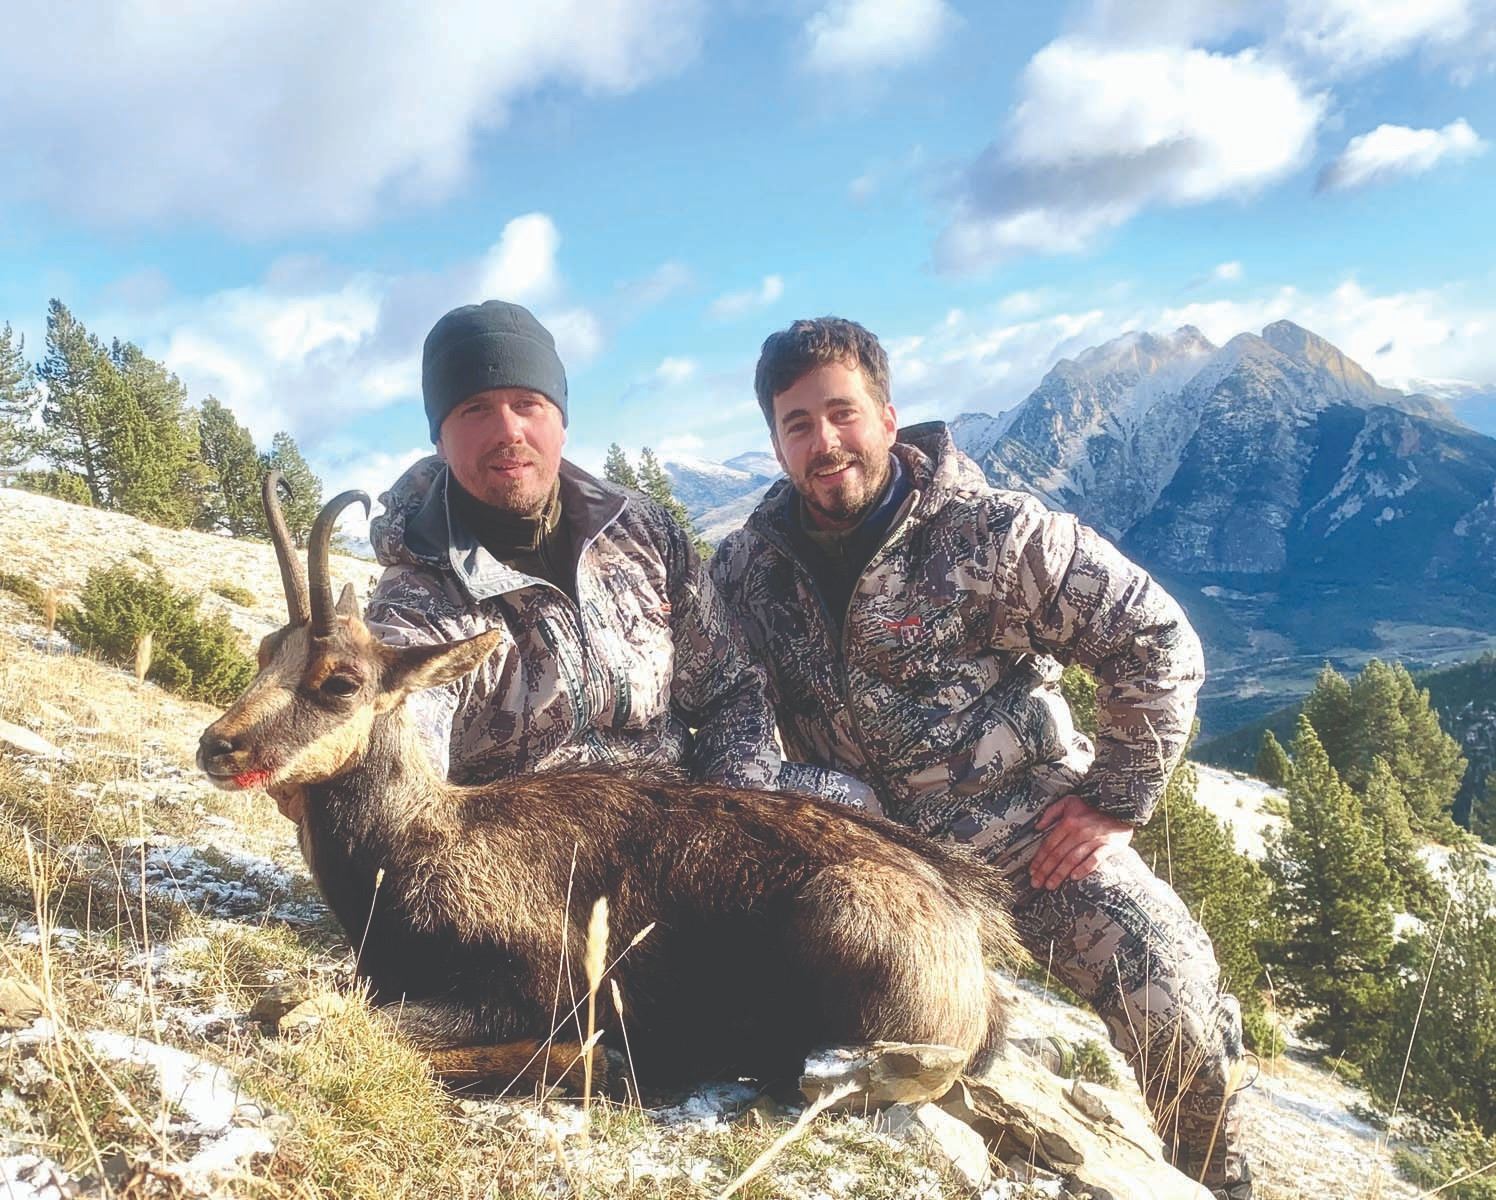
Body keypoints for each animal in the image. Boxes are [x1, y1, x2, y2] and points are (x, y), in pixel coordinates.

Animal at [196, 473, 1023, 1091]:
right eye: (266, 648)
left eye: (340, 682)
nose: (217, 746)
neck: (418, 844)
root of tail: (977, 972)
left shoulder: (538, 982)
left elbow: (316, 1017)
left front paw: (601, 1061)